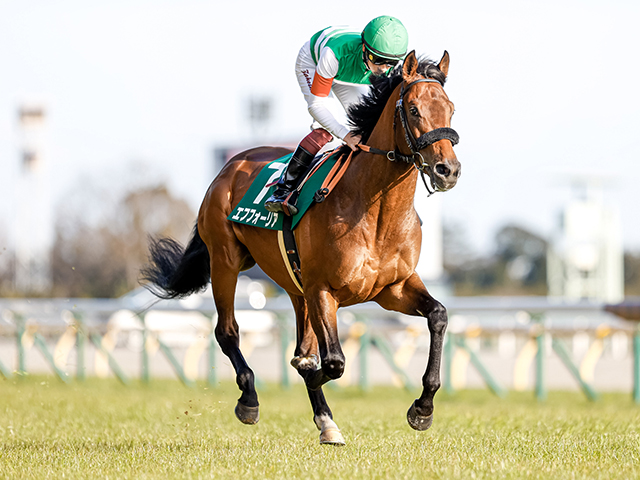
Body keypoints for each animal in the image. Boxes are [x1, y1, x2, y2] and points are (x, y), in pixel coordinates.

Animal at [141, 50, 460, 444]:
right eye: (414, 110)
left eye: (450, 108)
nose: (448, 169)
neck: (375, 210)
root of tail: (229, 167)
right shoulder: (323, 289)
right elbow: (333, 362)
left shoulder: (393, 288)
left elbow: (438, 316)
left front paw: (422, 408)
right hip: (226, 261)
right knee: (227, 331)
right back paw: (249, 399)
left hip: (295, 286)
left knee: (300, 346)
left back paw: (326, 422)